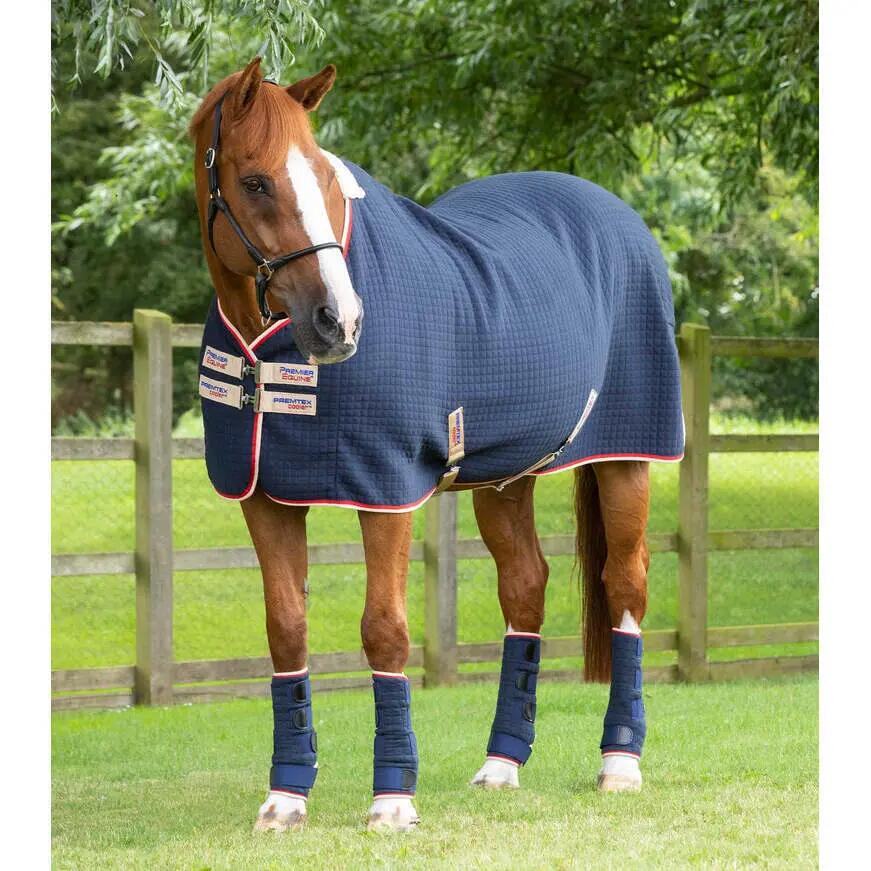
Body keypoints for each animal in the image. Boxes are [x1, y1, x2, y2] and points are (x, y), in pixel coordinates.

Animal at [189, 58, 683, 833]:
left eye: (326, 177)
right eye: (257, 181)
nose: (339, 321)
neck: (267, 350)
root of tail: (614, 212)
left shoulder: (385, 490)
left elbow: (385, 629)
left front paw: (392, 798)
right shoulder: (264, 496)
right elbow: (286, 630)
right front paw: (285, 796)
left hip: (628, 458)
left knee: (626, 586)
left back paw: (620, 762)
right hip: (505, 477)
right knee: (525, 589)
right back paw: (501, 763)